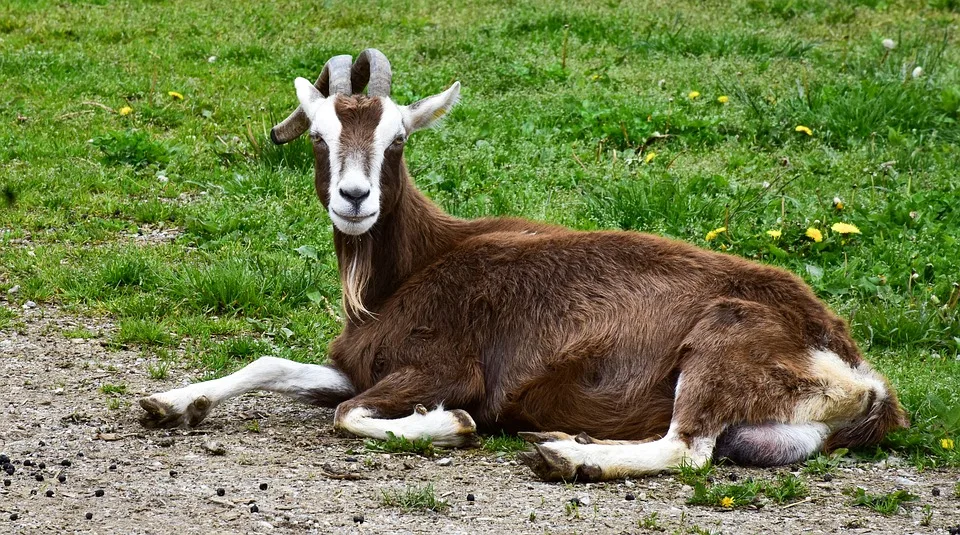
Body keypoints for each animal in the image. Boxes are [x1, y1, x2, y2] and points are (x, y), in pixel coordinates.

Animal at [137, 47, 908, 482]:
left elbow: (352, 416)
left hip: (721, 342)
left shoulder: (443, 368)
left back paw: (566, 454)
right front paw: (170, 402)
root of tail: (855, 367)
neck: (412, 270)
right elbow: (272, 365)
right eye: (322, 137)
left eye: (396, 139)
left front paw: (450, 425)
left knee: (688, 449)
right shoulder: (361, 366)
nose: (355, 199)